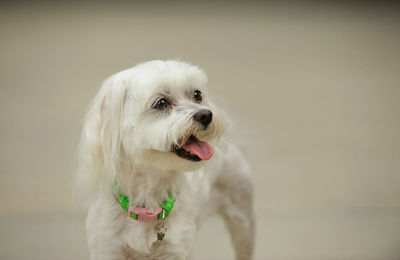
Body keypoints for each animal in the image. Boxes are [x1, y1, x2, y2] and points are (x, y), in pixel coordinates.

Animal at [76, 60, 255, 258]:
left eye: (197, 95)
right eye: (161, 103)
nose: (206, 115)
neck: (148, 202)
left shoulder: (176, 249)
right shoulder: (107, 247)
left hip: (243, 218)